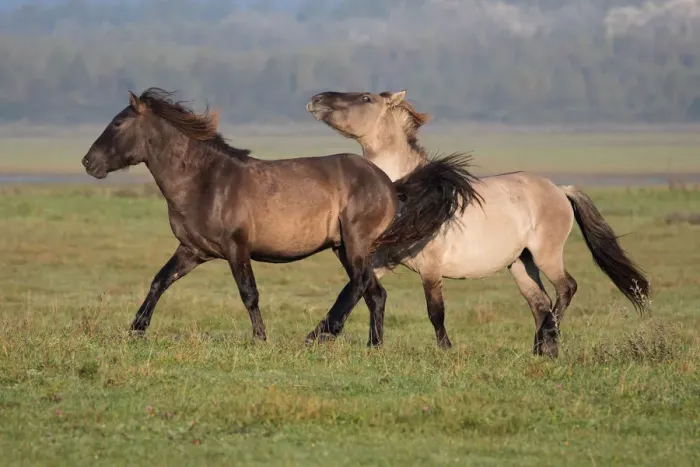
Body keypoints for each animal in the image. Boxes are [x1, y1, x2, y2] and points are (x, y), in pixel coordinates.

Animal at [81, 88, 480, 346]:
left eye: (117, 124)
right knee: (374, 293)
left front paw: (261, 339)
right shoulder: (192, 250)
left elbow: (249, 294)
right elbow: (159, 282)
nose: (88, 163)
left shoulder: (236, 248)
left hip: (355, 242)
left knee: (361, 284)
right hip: (342, 246)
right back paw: (372, 345)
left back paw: (321, 333)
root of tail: (389, 184)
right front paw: (136, 329)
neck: (205, 181)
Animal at [306, 90, 650, 357]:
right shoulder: (381, 262)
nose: (316, 99)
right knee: (539, 303)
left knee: (566, 288)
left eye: (366, 98)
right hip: (520, 263)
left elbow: (435, 311)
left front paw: (445, 349)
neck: (410, 198)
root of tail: (560, 189)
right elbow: (358, 291)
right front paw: (326, 336)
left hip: (546, 255)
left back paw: (549, 341)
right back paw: (540, 349)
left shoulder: (431, 268)